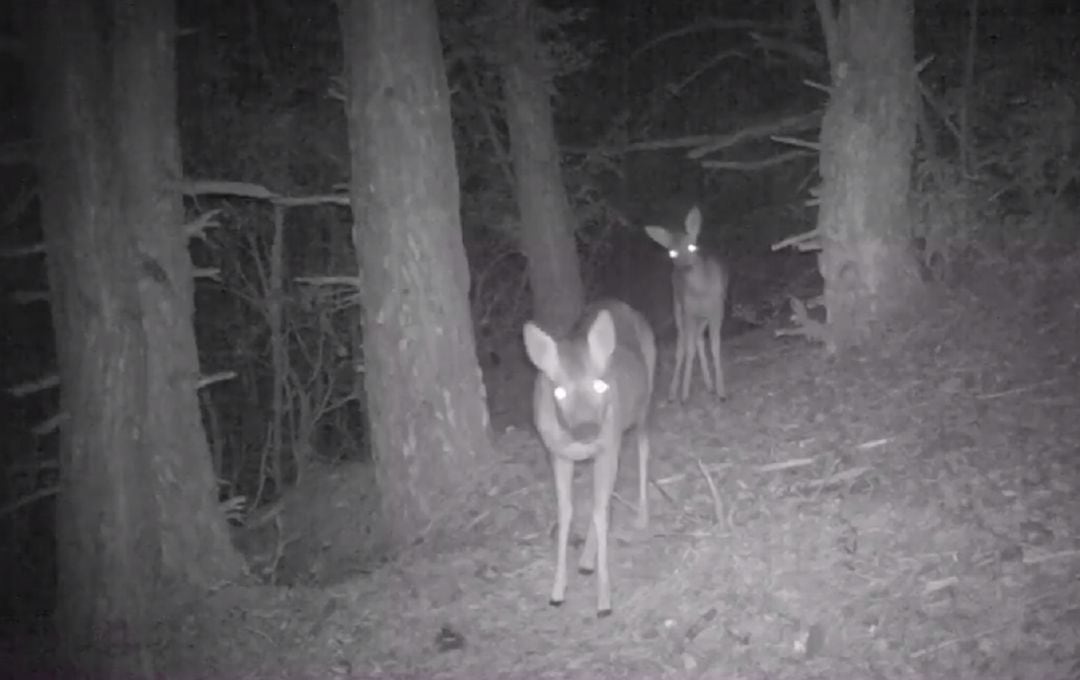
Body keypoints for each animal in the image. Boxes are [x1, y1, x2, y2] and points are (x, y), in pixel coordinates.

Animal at [522, 297, 656, 617]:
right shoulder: (557, 454)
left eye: (599, 384)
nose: (586, 430)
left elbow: (598, 510)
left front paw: (604, 601)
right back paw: (585, 561)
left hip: (642, 405)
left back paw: (641, 517)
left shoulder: (607, 445)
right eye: (558, 391)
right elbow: (567, 511)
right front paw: (557, 591)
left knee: (643, 450)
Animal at [643, 205, 730, 401]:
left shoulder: (717, 308)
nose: (685, 268)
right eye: (672, 252)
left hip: (702, 316)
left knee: (698, 339)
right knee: (683, 345)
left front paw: (721, 391)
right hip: (678, 308)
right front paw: (684, 394)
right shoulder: (689, 311)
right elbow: (688, 349)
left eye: (692, 246)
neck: (701, 291)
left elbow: (715, 346)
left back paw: (710, 385)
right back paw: (673, 392)